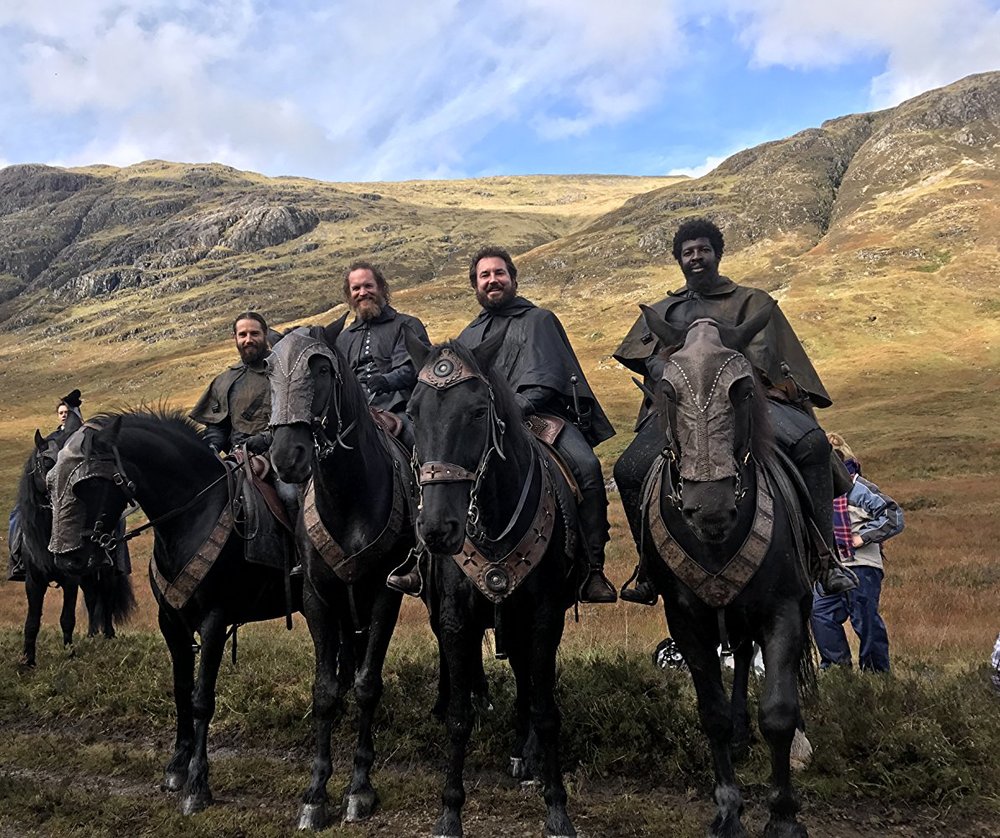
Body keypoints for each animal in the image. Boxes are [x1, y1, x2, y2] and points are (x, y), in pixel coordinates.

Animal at [14, 424, 135, 668]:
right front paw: (28, 660)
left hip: (105, 572)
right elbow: (32, 621)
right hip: (87, 576)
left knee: (107, 600)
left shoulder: (70, 579)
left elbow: (67, 618)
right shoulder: (34, 580)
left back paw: (108, 635)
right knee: (91, 600)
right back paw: (91, 635)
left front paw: (69, 653)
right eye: (46, 461)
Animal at [45, 414, 300, 820]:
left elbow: (201, 699)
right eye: (50, 481)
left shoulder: (214, 621)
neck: (192, 514)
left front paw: (198, 785)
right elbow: (181, 690)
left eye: (86, 483)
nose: (66, 559)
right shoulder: (171, 623)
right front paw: (177, 767)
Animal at [264, 324, 416, 832]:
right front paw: (315, 793)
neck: (350, 495)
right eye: (268, 370)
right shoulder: (319, 599)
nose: (288, 456)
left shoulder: (384, 597)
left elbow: (369, 684)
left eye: (322, 369)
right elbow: (325, 691)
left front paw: (359, 789)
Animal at [404, 334, 580, 838]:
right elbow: (459, 718)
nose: (438, 529)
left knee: (530, 688)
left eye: (478, 412)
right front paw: (449, 811)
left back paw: (528, 755)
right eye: (413, 411)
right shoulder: (455, 621)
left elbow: (545, 711)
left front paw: (556, 806)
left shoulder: (544, 620)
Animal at [620, 310, 816, 838]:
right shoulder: (687, 622)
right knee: (742, 658)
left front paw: (784, 815)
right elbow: (712, 715)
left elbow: (779, 713)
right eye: (666, 390)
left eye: (744, 389)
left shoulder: (783, 610)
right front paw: (728, 810)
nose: (709, 507)